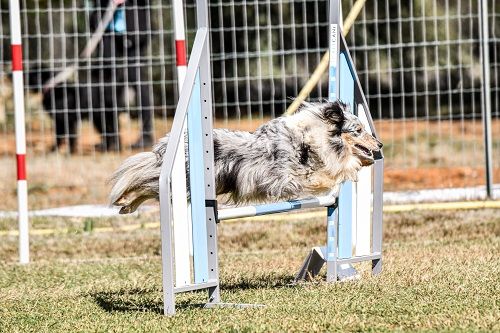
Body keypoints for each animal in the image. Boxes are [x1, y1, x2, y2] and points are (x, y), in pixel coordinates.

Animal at [110, 100, 382, 213]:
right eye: (359, 130)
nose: (379, 143)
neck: (309, 138)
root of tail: (167, 144)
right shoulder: (288, 179)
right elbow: (326, 176)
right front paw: (347, 171)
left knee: (147, 185)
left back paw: (125, 206)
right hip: (181, 184)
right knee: (145, 182)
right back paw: (124, 200)